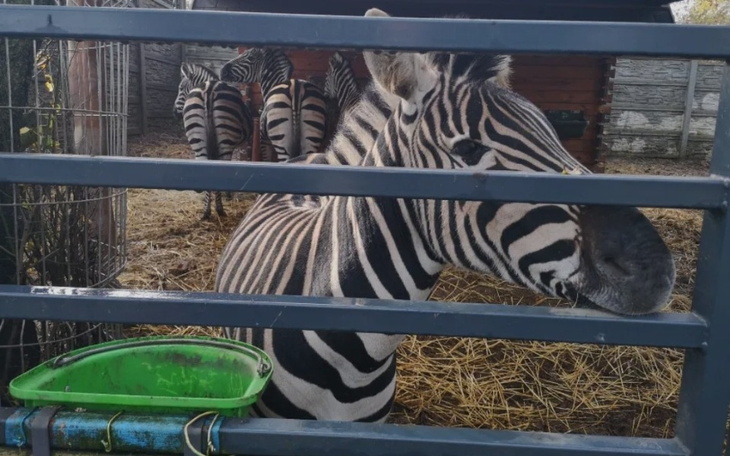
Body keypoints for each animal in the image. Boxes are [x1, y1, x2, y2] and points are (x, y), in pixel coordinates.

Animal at [173, 63, 254, 220]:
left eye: (180, 88)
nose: (174, 112)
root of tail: (208, 88)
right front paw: (227, 194)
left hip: (198, 138)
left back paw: (206, 212)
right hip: (225, 138)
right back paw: (219, 209)